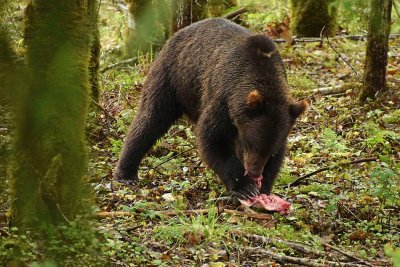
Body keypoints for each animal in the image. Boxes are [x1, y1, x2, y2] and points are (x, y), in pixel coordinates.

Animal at [114, 18, 308, 203]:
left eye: (270, 151)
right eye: (251, 144)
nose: (254, 172)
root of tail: (177, 34)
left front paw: (263, 187)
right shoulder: (223, 98)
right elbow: (213, 138)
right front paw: (244, 187)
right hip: (172, 77)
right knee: (150, 119)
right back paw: (126, 173)